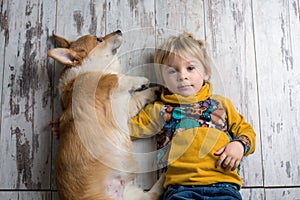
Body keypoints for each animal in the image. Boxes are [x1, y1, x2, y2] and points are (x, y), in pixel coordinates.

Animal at [47, 30, 164, 200]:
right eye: (99, 39)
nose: (119, 30)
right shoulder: (106, 82)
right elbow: (119, 77)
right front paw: (141, 80)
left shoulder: (125, 105)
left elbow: (140, 96)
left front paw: (152, 90)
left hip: (133, 195)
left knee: (152, 194)